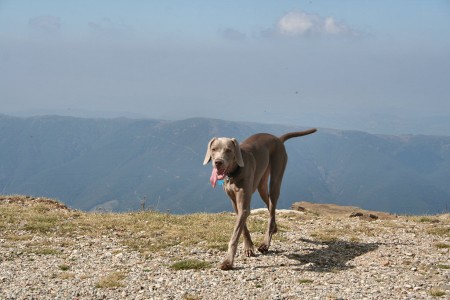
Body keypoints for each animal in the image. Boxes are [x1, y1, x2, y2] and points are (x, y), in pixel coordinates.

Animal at [204, 127, 316, 270]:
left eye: (228, 150)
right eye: (213, 149)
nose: (218, 162)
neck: (234, 172)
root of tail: (277, 139)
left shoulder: (243, 206)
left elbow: (235, 236)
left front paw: (228, 261)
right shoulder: (235, 203)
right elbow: (243, 228)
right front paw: (248, 248)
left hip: (276, 178)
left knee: (272, 207)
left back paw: (265, 244)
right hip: (261, 184)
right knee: (269, 205)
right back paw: (274, 228)